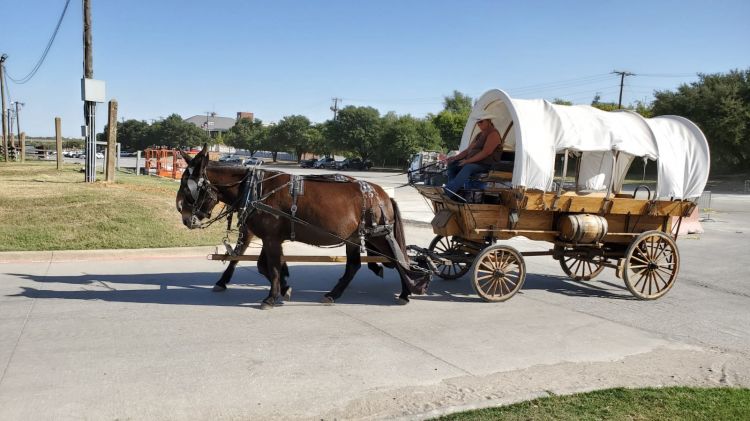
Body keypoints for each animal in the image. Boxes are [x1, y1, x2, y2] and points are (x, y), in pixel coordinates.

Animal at [172, 147, 428, 308]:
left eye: (187, 187)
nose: (183, 215)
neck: (254, 189)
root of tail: (383, 195)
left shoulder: (271, 238)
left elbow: (272, 267)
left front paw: (271, 297)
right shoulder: (270, 237)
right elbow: (264, 265)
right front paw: (284, 288)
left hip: (379, 237)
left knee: (399, 260)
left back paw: (406, 292)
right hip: (356, 238)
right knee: (354, 266)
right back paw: (333, 294)